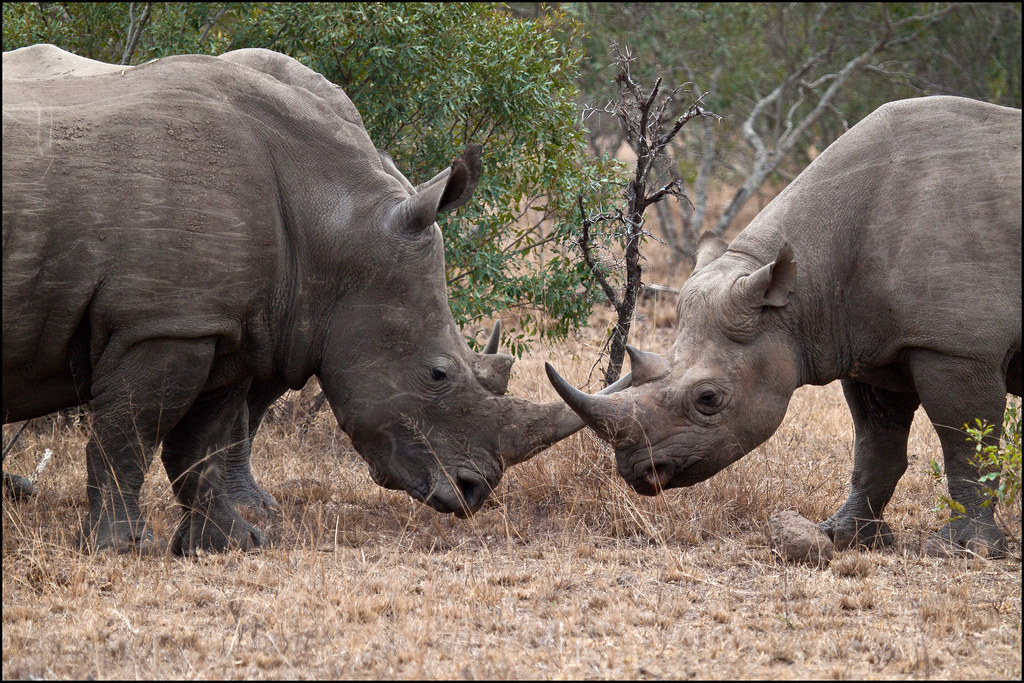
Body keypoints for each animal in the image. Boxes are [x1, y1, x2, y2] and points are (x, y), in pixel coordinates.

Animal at [3, 45, 626, 554]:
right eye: (437, 374)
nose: (475, 491)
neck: (332, 218)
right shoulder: (165, 321)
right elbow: (128, 432)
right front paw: (123, 548)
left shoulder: (225, 324)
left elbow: (201, 443)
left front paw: (230, 544)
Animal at [547, 96, 1022, 556]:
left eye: (708, 399)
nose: (638, 473)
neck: (800, 289)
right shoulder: (872, 349)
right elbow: (875, 448)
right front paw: (844, 537)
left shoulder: (956, 347)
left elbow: (967, 447)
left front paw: (966, 549)